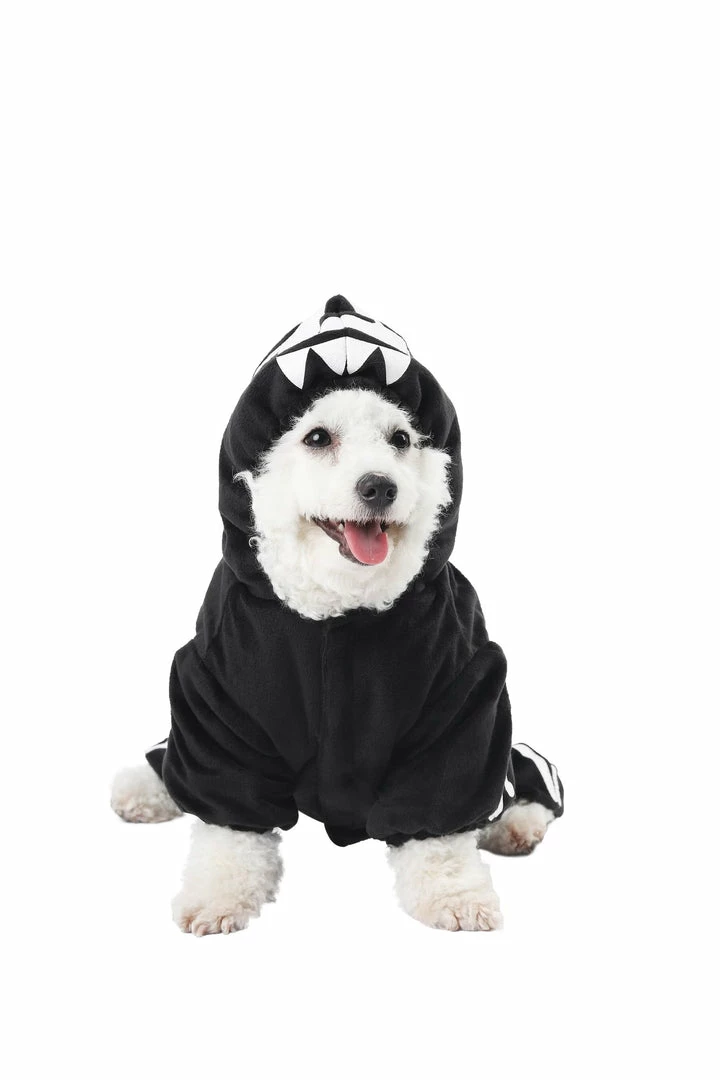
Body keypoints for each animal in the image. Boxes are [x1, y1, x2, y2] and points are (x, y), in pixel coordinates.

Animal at [111, 295, 563, 934]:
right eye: (318, 436)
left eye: (400, 438)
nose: (379, 487)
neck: (339, 615)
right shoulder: (216, 700)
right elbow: (230, 828)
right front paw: (219, 894)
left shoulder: (464, 698)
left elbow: (441, 828)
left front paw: (454, 895)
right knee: (171, 760)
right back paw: (143, 788)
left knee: (515, 774)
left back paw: (516, 822)